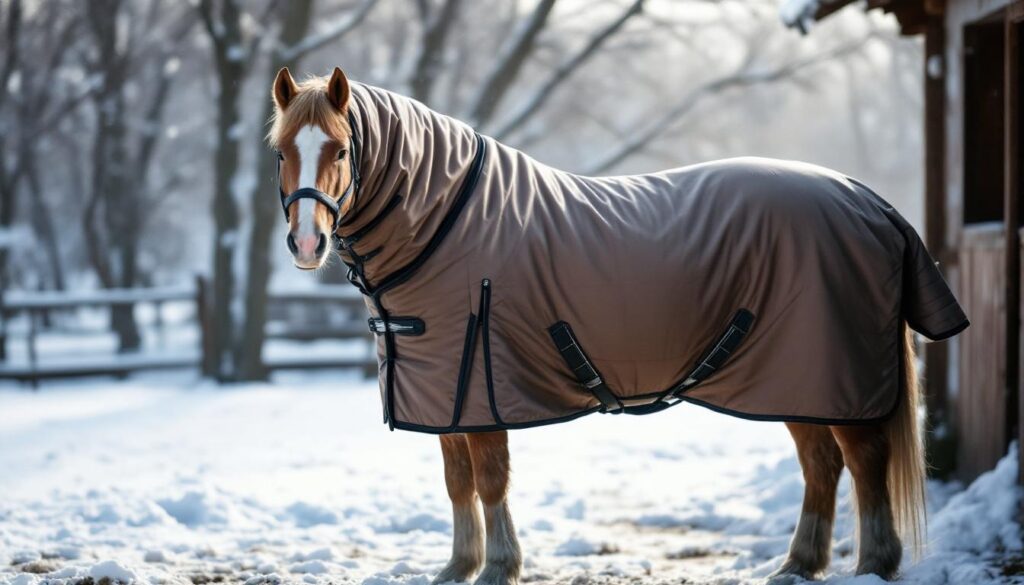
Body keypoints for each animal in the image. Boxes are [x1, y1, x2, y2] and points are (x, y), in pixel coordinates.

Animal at [266, 66, 968, 583]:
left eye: (340, 148)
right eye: (279, 153)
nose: (307, 243)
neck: (449, 223)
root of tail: (868, 201)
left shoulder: (483, 389)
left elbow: (489, 480)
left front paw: (498, 568)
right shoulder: (445, 394)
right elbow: (456, 481)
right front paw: (458, 567)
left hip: (829, 375)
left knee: (864, 460)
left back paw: (874, 564)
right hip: (792, 381)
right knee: (822, 465)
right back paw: (799, 564)